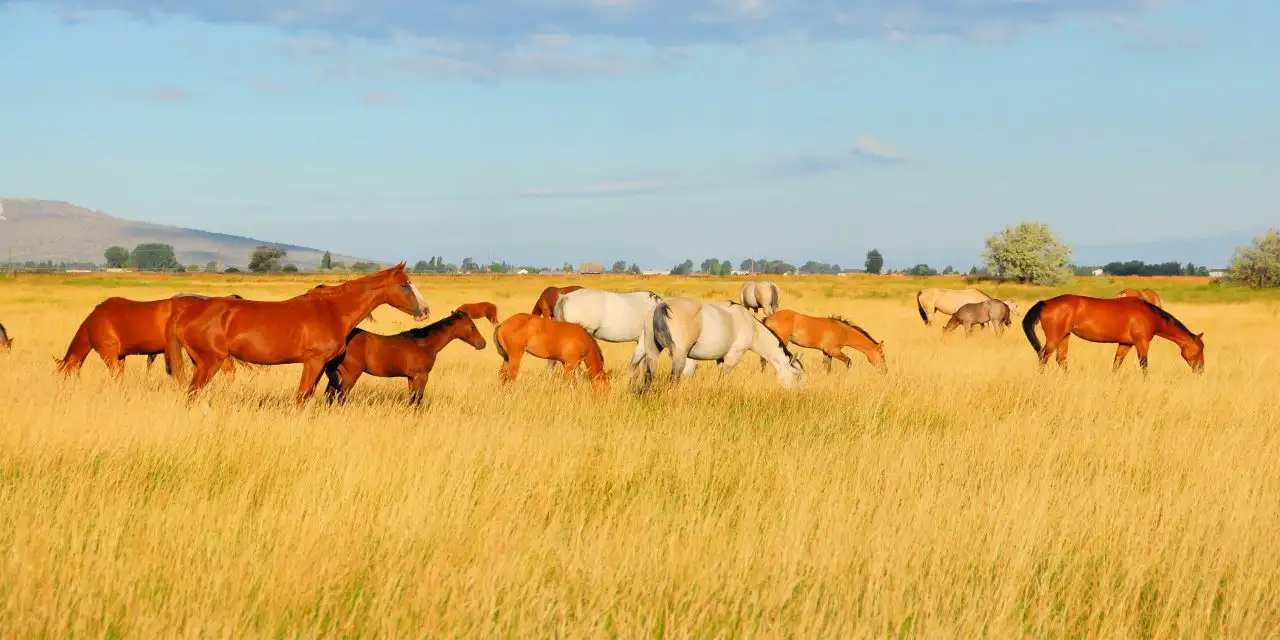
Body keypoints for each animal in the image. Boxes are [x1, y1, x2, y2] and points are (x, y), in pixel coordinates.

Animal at [161, 261, 424, 404]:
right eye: (404, 284)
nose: (425, 310)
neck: (331, 310)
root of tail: (186, 312)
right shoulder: (314, 362)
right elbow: (301, 397)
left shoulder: (322, 365)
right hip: (210, 362)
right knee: (193, 394)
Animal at [325, 305, 488, 404]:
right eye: (472, 326)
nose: (483, 344)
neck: (424, 343)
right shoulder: (421, 376)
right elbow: (417, 400)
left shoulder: (411, 378)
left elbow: (412, 400)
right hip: (350, 375)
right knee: (340, 396)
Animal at [645, 295, 803, 389]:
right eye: (797, 375)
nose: (801, 393)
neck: (751, 324)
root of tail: (662, 305)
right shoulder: (733, 357)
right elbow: (724, 379)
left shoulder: (720, 359)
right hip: (679, 356)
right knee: (673, 379)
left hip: (652, 352)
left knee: (648, 376)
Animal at [1018, 294, 1198, 373]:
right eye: (1199, 350)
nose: (1200, 369)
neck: (1150, 316)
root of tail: (1045, 302)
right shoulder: (1142, 343)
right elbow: (1144, 365)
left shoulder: (1126, 344)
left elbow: (1116, 364)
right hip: (1054, 338)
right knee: (1043, 357)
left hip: (1064, 336)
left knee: (1061, 359)